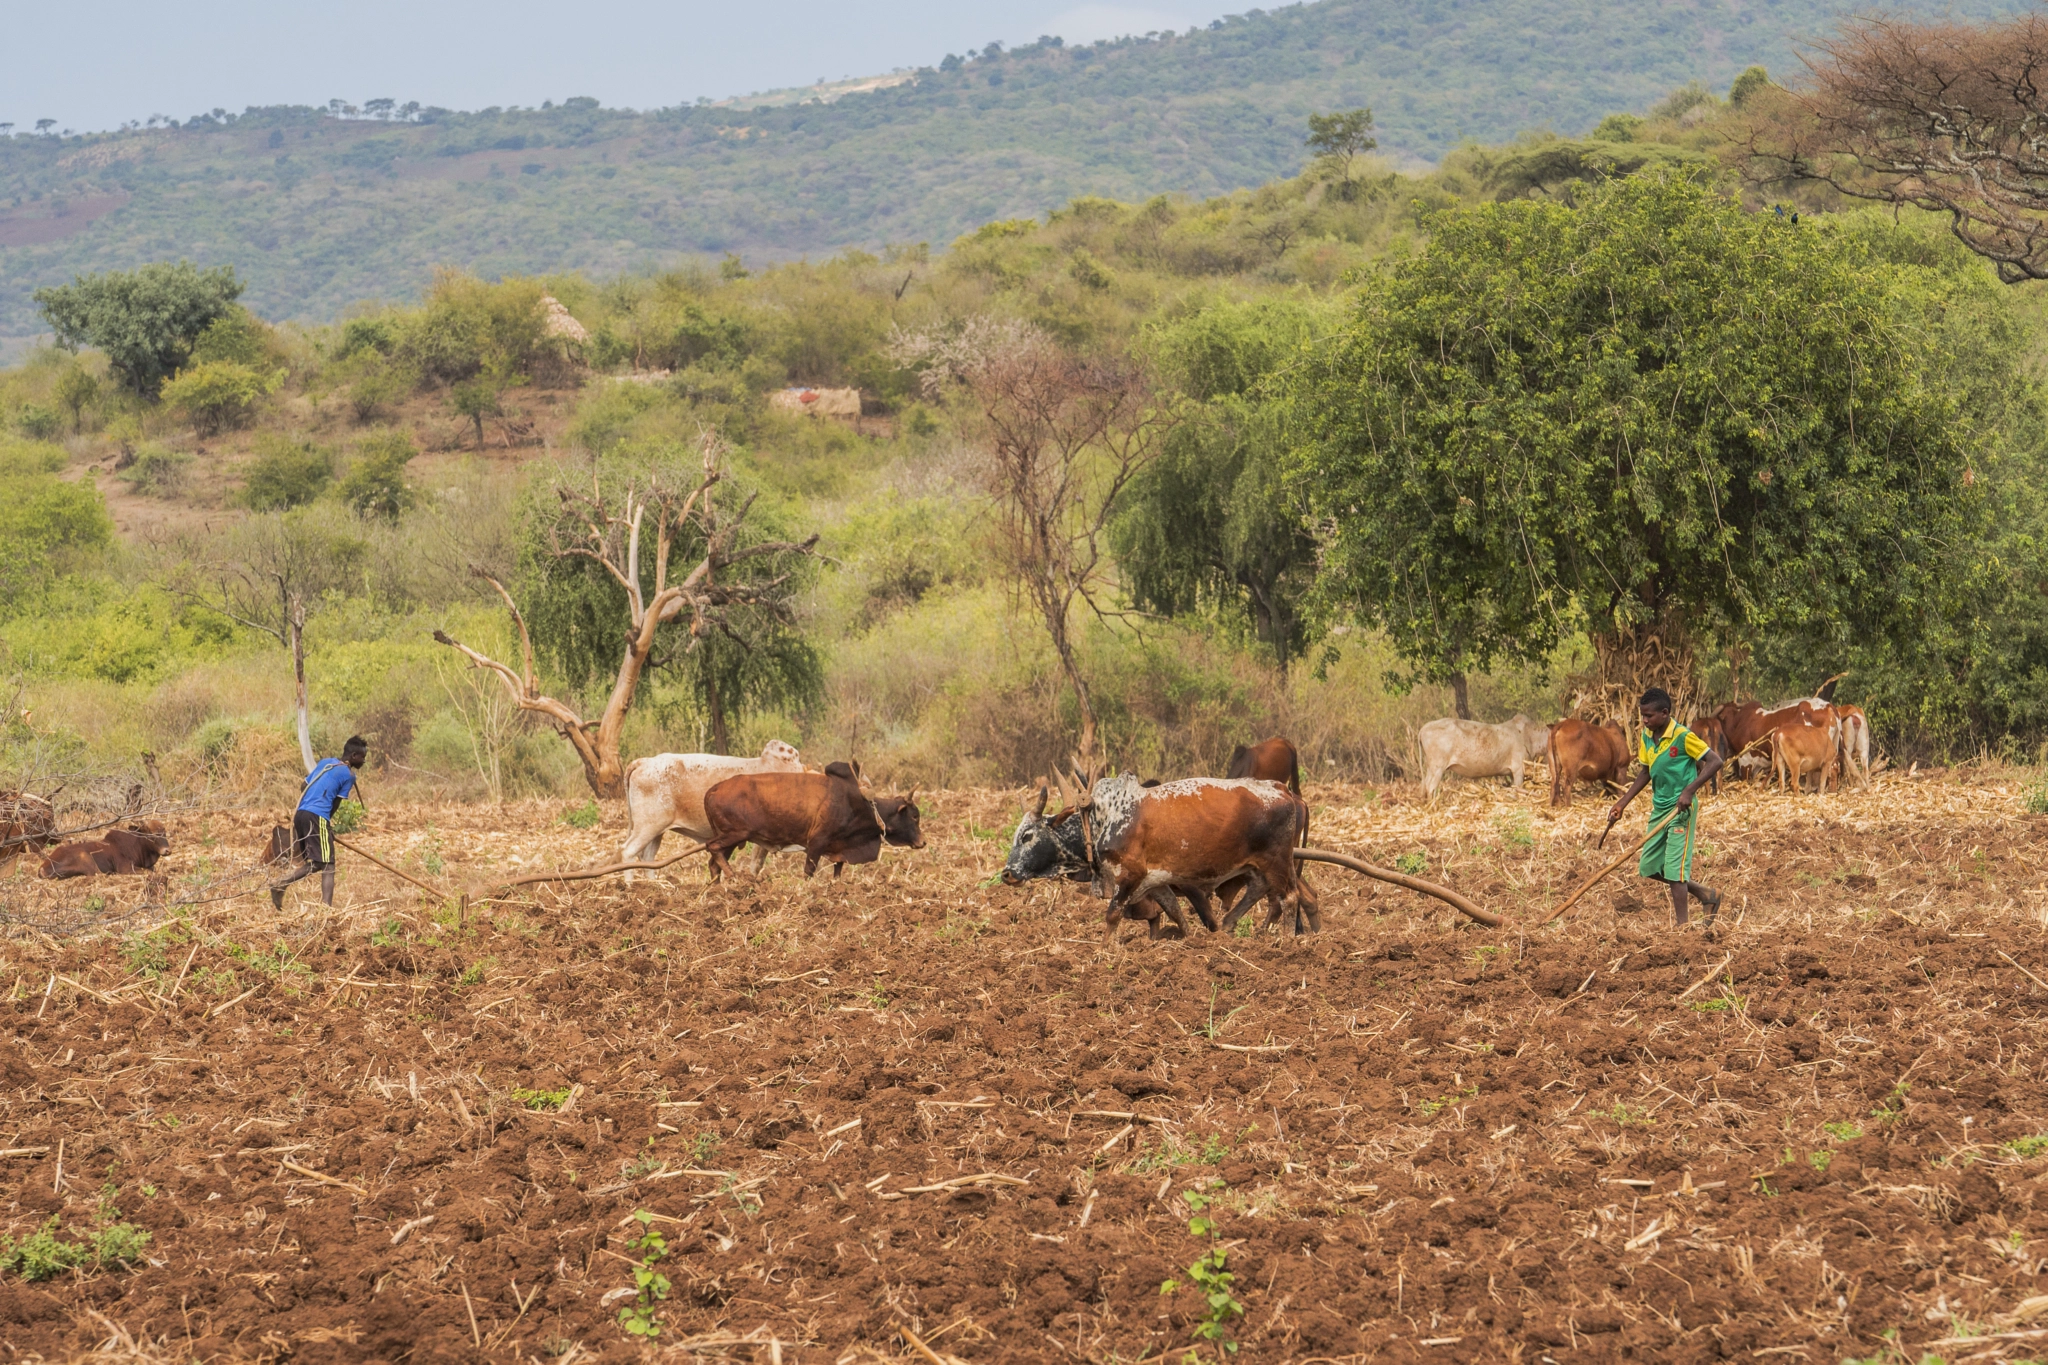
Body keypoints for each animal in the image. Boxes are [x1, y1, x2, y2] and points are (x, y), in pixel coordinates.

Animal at [704, 765, 929, 879]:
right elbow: (809, 871)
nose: (923, 842)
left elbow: (838, 872)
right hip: (735, 834)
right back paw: (734, 878)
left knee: (714, 863)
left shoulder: (839, 848)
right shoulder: (817, 842)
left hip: (732, 839)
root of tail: (714, 789)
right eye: (914, 816)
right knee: (711, 847)